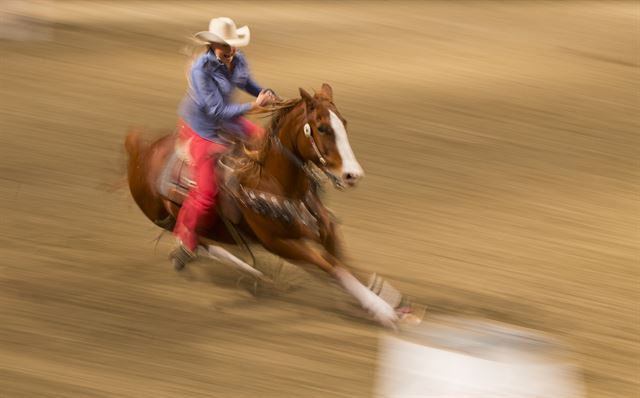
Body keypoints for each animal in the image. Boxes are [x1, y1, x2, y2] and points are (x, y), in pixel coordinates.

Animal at [125, 83, 416, 326]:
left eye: (344, 123)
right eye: (322, 128)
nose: (352, 175)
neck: (274, 184)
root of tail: (143, 151)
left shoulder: (326, 230)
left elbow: (343, 263)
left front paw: (386, 298)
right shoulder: (281, 244)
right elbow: (333, 267)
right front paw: (381, 309)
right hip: (164, 217)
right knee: (194, 240)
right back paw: (249, 271)